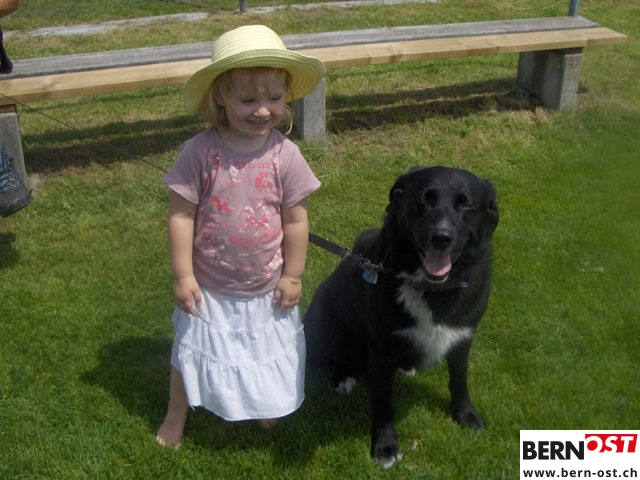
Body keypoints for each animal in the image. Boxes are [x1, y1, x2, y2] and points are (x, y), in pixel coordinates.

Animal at [304, 166, 499, 468]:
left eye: (466, 204)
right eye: (424, 199)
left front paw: (465, 415)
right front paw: (385, 448)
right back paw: (344, 378)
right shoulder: (382, 351)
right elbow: (384, 404)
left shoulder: (463, 337)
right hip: (329, 324)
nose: (441, 237)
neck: (431, 289)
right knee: (338, 356)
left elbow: (459, 381)